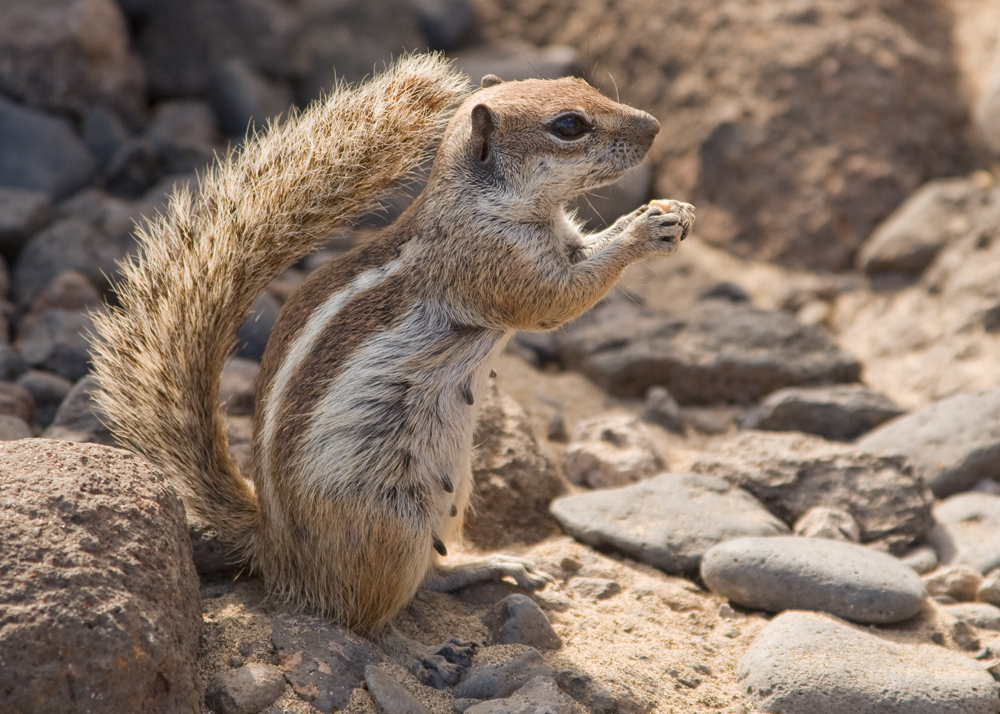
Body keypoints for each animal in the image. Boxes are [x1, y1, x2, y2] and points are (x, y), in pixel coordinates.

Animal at [90, 54, 692, 680]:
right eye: (569, 125)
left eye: (582, 83)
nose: (653, 126)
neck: (481, 203)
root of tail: (276, 550)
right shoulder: (494, 267)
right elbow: (560, 299)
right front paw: (645, 229)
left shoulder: (561, 240)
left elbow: (583, 254)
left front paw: (667, 213)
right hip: (390, 528)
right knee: (365, 620)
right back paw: (421, 654)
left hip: (452, 496)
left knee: (433, 573)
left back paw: (492, 566)